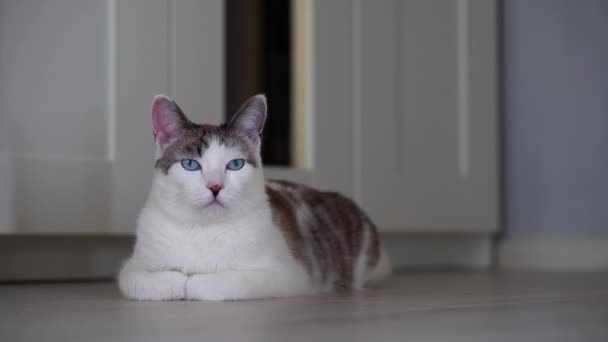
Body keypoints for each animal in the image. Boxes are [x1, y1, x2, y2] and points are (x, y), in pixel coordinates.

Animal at [119, 95, 392, 300]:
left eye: (235, 164)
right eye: (190, 164)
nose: (215, 186)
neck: (202, 229)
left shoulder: (288, 274)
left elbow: (212, 283)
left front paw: (193, 282)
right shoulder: (132, 268)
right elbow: (145, 281)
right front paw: (176, 280)